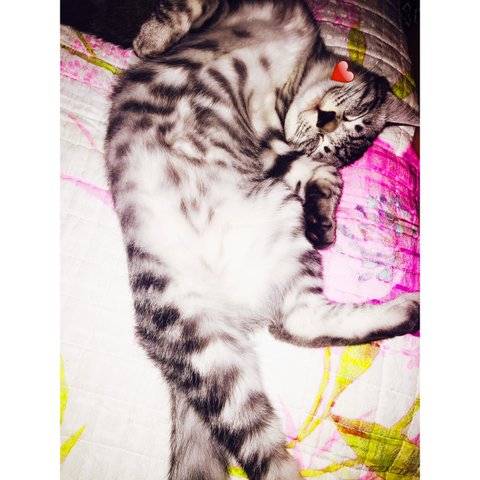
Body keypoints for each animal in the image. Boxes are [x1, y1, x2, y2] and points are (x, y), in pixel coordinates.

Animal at [101, 1, 420, 478]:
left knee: (294, 337)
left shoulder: (271, 137)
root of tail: (238, 311)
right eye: (350, 118)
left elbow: (316, 171)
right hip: (199, 334)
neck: (299, 72)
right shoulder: (267, 124)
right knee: (292, 332)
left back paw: (408, 308)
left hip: (263, 258)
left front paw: (324, 216)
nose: (325, 120)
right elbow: (177, 12)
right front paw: (150, 41)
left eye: (344, 133)